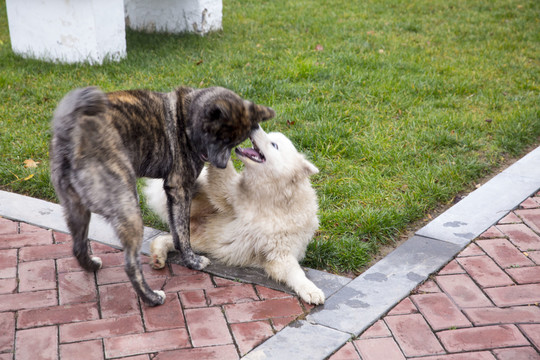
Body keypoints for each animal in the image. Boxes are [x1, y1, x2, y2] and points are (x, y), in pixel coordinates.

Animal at [50, 86, 274, 306]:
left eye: (234, 142)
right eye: (221, 138)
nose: (220, 165)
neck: (187, 117)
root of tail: (72, 136)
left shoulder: (172, 192)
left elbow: (177, 230)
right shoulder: (180, 188)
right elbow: (184, 233)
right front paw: (192, 261)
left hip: (76, 209)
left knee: (78, 247)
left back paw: (91, 265)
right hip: (130, 212)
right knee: (130, 265)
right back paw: (151, 298)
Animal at [143, 126, 324, 304]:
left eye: (274, 144)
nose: (255, 126)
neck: (269, 195)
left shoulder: (281, 249)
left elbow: (293, 270)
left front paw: (312, 291)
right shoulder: (230, 197)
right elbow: (222, 186)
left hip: (201, 241)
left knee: (172, 240)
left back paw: (158, 256)